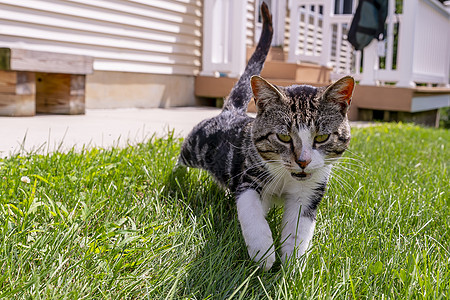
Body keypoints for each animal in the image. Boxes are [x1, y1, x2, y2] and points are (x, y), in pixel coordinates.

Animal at [178, 2, 354, 270]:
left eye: (322, 137)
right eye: (283, 137)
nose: (303, 161)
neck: (286, 178)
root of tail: (231, 110)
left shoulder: (310, 191)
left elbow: (299, 228)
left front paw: (292, 262)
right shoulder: (249, 176)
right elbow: (250, 211)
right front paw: (263, 252)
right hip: (195, 144)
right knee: (181, 159)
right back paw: (178, 178)